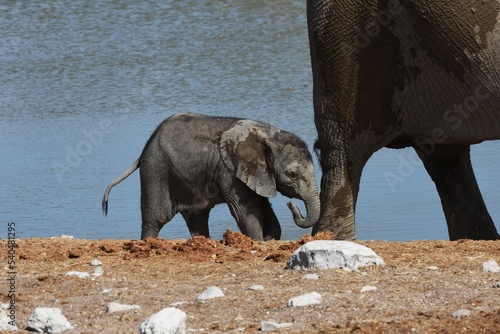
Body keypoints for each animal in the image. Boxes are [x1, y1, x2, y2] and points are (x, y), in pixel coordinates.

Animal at [102, 112, 320, 240]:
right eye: (292, 174)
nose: (292, 205)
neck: (269, 135)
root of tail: (143, 150)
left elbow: (264, 207)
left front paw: (269, 239)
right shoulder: (230, 172)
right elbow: (245, 211)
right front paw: (258, 242)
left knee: (196, 216)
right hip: (156, 170)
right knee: (156, 218)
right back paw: (150, 244)